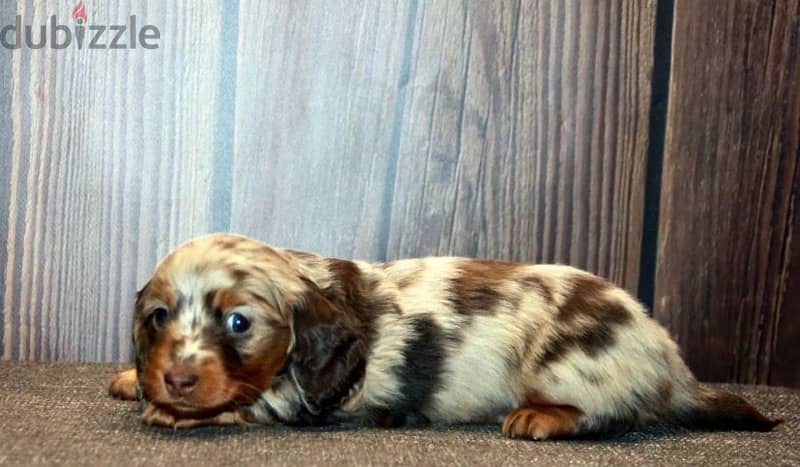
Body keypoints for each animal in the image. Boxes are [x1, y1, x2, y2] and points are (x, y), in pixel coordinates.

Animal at [109, 236, 780, 440]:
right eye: (158, 317)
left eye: (239, 323)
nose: (177, 379)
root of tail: (668, 361)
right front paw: (134, 377)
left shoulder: (304, 397)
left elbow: (247, 400)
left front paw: (174, 410)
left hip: (565, 368)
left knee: (615, 413)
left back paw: (543, 418)